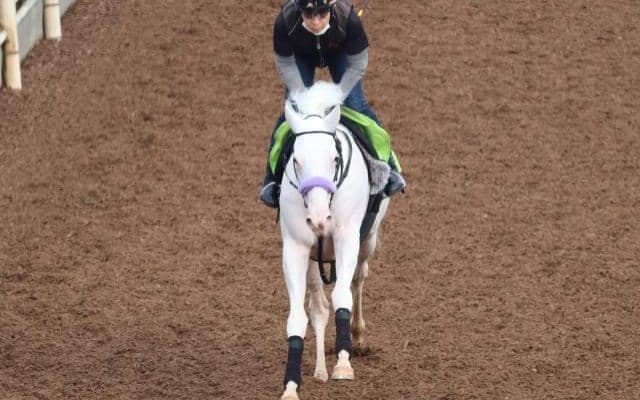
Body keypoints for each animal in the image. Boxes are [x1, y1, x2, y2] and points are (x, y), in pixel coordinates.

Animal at [276, 81, 390, 400]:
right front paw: (292, 385)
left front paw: (343, 364)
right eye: (296, 160)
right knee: (319, 305)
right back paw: (319, 369)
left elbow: (343, 296)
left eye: (335, 159)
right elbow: (300, 316)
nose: (318, 219)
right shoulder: (296, 249)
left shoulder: (347, 238)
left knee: (358, 278)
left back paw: (358, 337)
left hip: (368, 240)